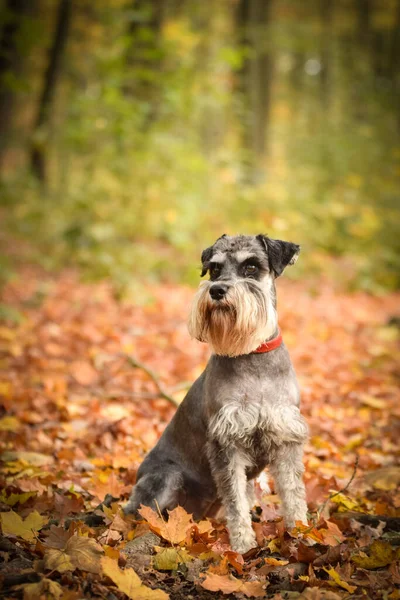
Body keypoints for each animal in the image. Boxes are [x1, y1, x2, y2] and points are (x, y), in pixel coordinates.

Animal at [125, 233, 310, 552]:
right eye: (214, 269)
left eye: (251, 267)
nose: (217, 290)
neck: (252, 355)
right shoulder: (227, 443)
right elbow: (236, 502)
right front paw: (243, 544)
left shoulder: (285, 437)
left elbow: (293, 491)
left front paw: (301, 532)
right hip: (166, 478)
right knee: (139, 513)